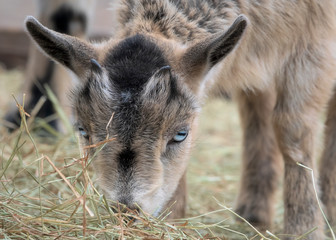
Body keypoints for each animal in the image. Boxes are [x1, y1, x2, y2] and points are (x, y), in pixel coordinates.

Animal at [22, 0, 336, 239]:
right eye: (83, 131)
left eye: (181, 134)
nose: (127, 211)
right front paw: (173, 219)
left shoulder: (316, 36)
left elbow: (292, 127)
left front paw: (304, 230)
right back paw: (253, 211)